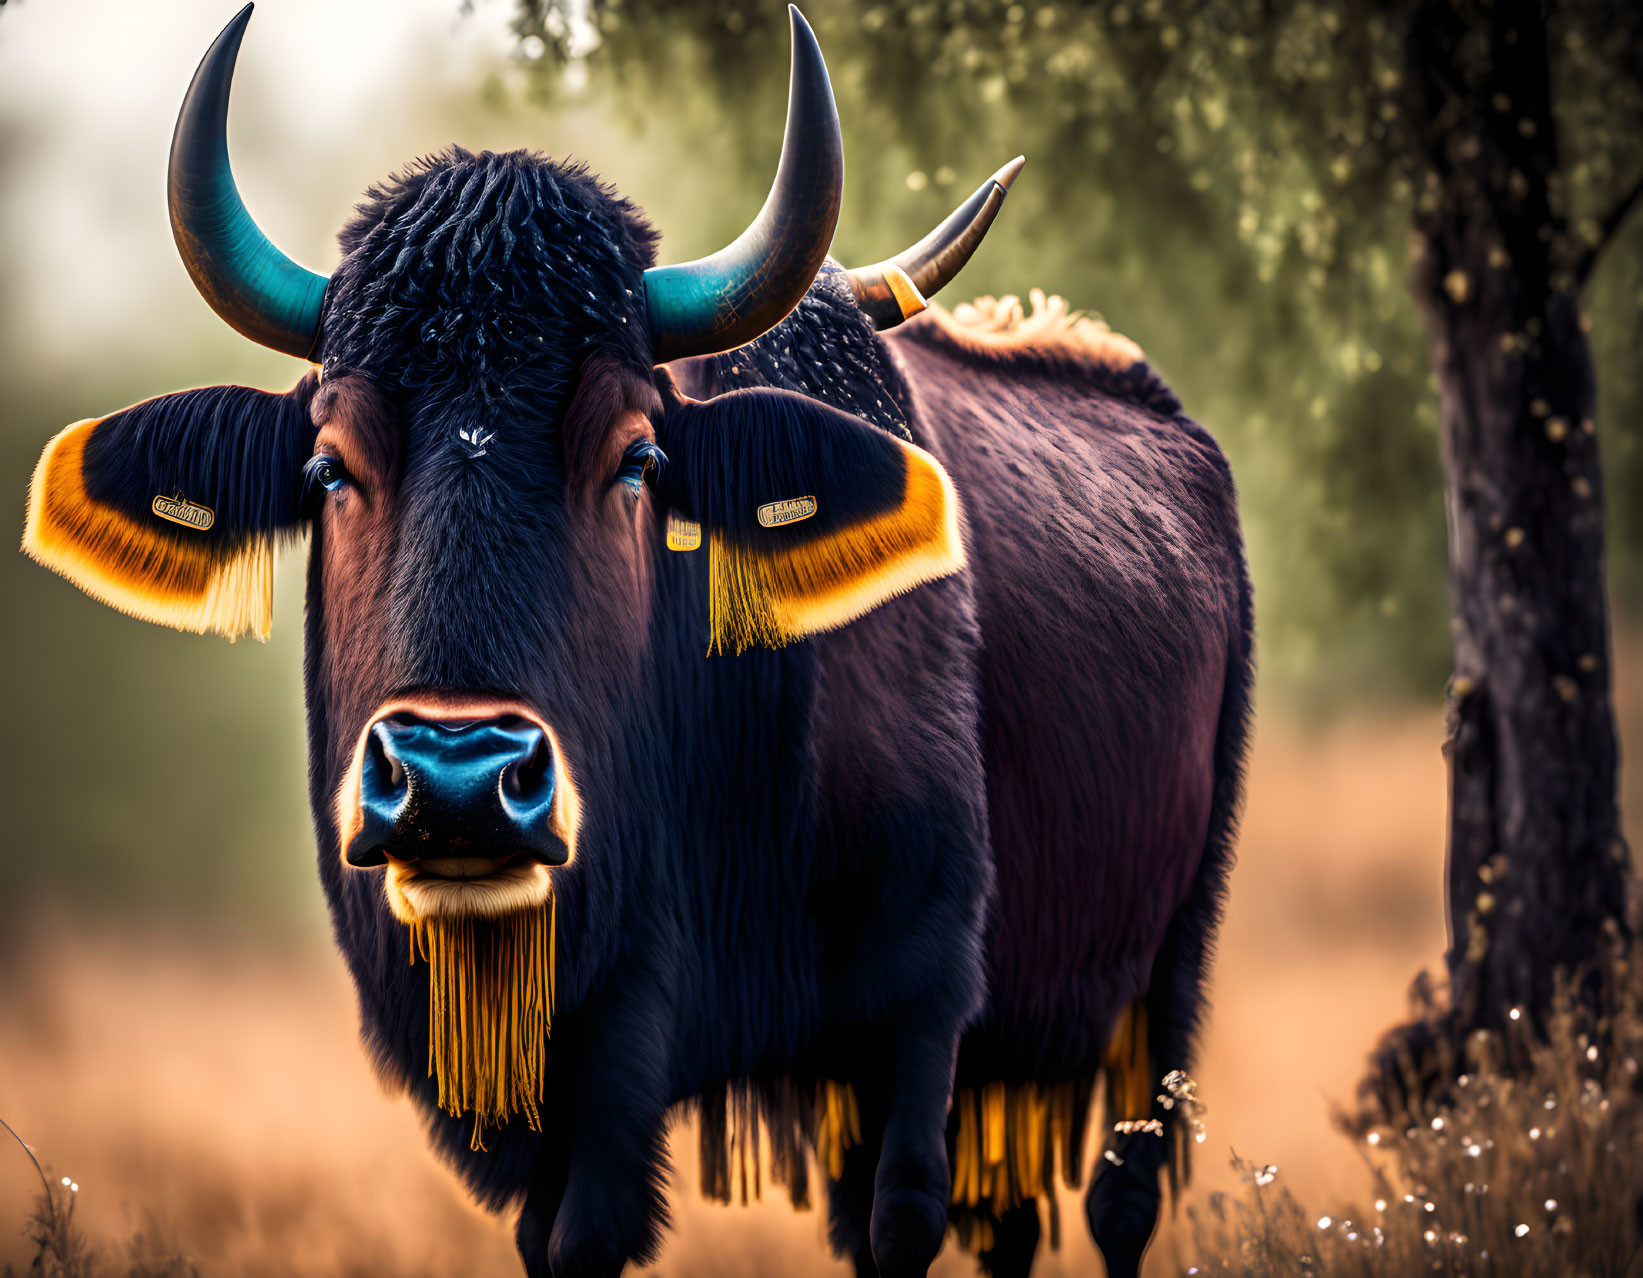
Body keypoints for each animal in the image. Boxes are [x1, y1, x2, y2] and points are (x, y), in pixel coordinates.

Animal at [19, 4, 1248, 1268]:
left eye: (637, 458)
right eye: (327, 468)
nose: (455, 784)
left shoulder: (917, 998)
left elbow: (894, 1219)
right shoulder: (560, 1063)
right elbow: (571, 1235)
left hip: (1163, 976)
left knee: (1114, 1199)